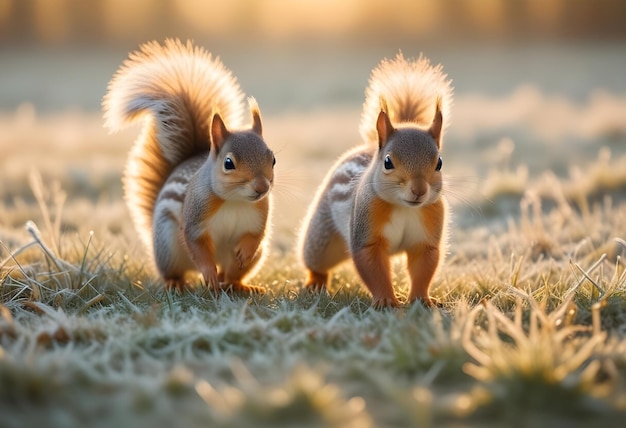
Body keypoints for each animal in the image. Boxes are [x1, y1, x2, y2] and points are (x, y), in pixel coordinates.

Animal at [102, 39, 272, 294]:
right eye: (228, 163)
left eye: (273, 159)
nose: (262, 188)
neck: (236, 200)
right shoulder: (194, 216)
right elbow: (196, 244)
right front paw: (208, 273)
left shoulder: (260, 213)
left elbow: (256, 235)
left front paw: (246, 249)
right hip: (168, 246)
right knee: (177, 270)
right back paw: (177, 283)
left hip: (245, 259)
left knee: (231, 274)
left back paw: (240, 285)